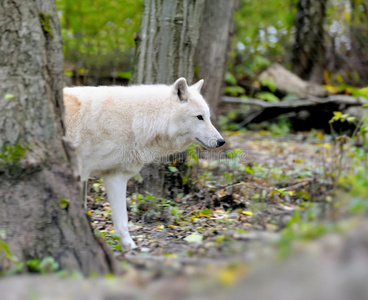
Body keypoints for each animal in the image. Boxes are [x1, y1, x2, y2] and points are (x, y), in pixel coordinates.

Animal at [63, 77, 224, 248]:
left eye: (208, 117)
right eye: (199, 117)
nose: (221, 141)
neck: (134, 120)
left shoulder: (113, 176)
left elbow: (120, 221)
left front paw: (129, 247)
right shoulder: (87, 173)